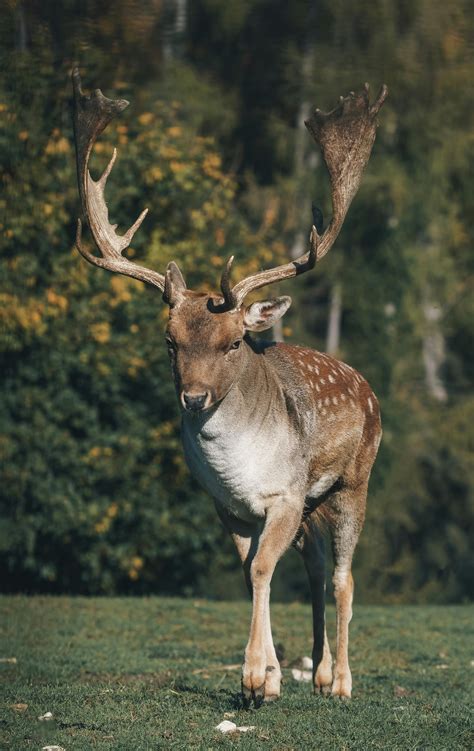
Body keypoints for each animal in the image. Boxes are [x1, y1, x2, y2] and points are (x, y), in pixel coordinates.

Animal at [72, 67, 387, 706]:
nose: (193, 398)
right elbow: (249, 573)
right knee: (317, 569)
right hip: (315, 503)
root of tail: (368, 389)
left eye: (234, 342)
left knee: (343, 575)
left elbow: (264, 570)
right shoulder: (229, 507)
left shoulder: (285, 494)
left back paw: (342, 682)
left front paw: (253, 678)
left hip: (352, 483)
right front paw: (269, 679)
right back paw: (318, 674)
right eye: (169, 341)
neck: (239, 464)